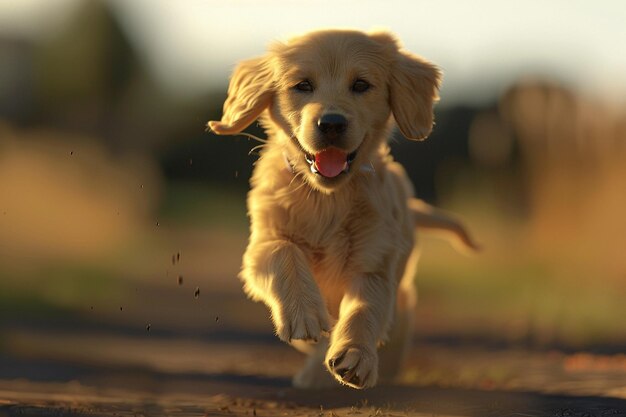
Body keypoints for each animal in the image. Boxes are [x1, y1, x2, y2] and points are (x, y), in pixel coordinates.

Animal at [207, 30, 476, 390]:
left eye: (361, 84)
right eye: (303, 85)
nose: (331, 123)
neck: (327, 198)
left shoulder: (375, 262)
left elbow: (365, 310)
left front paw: (356, 356)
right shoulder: (261, 245)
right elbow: (284, 253)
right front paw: (304, 314)